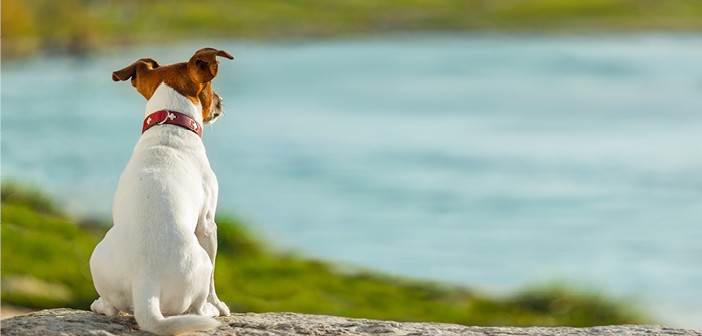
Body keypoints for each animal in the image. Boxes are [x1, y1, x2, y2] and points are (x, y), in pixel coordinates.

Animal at [88, 48, 234, 336]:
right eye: (210, 89)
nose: (222, 101)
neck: (170, 125)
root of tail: (146, 283)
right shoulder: (207, 224)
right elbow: (214, 280)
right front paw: (220, 305)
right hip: (200, 263)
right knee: (197, 307)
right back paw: (209, 310)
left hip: (97, 259)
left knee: (111, 307)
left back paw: (98, 304)